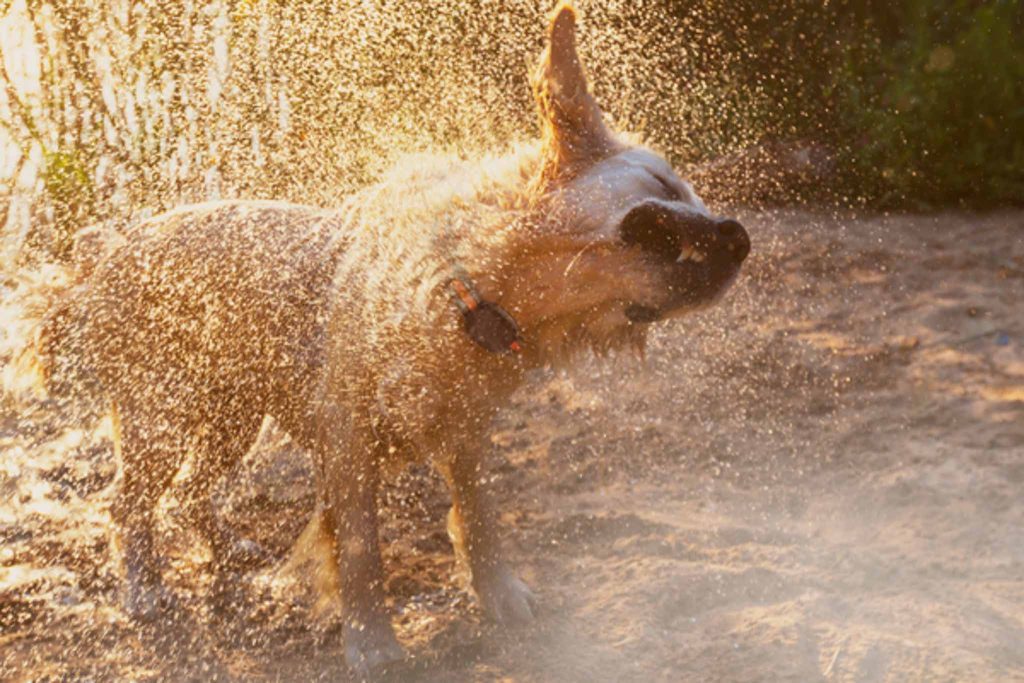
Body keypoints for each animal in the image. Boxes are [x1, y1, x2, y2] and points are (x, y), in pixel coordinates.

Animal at [28, 2, 749, 679]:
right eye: (663, 187)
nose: (741, 237)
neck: (474, 293)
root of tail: (111, 245)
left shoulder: (466, 428)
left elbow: (479, 516)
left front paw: (500, 595)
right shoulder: (348, 443)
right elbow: (362, 553)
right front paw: (372, 643)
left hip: (234, 415)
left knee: (188, 493)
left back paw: (229, 549)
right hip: (160, 417)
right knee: (127, 503)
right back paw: (144, 589)